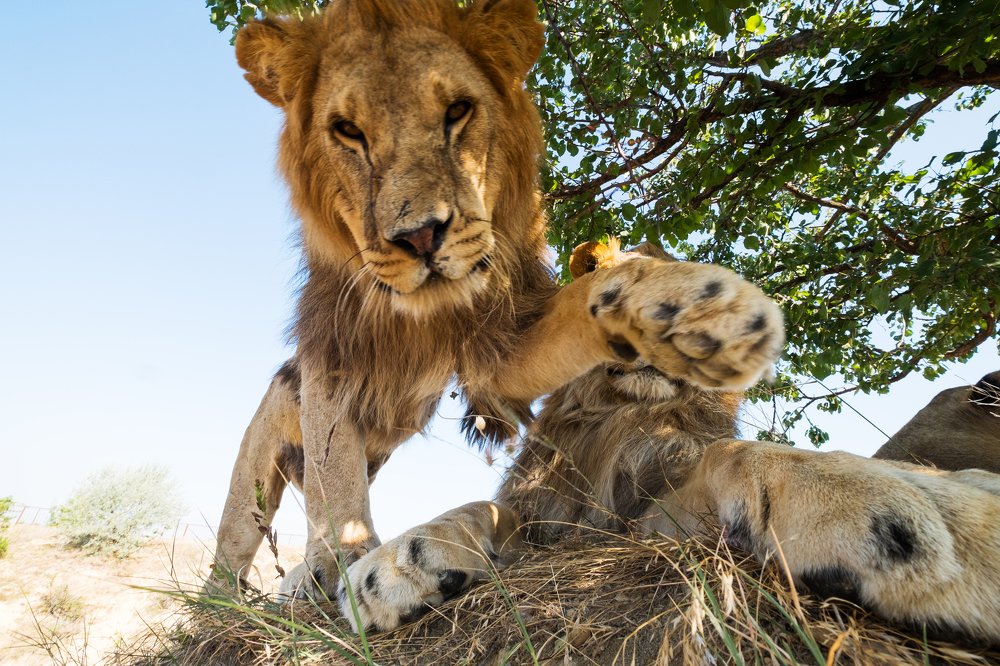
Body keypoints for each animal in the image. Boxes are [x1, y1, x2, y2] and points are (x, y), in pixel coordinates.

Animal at [210, 0, 784, 601]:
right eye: (348, 132)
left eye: (458, 112)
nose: (420, 237)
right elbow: (383, 490)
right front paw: (367, 565)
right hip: (259, 465)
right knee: (235, 546)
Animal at [339, 242, 1000, 644]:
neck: (618, 418)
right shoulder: (549, 512)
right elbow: (481, 508)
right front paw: (395, 565)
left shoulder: (646, 520)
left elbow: (731, 454)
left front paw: (923, 521)